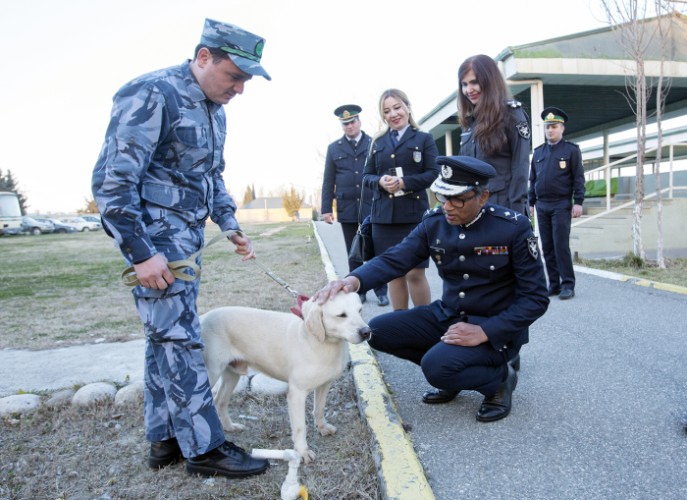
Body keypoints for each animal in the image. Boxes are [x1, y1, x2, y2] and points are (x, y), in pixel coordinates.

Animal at [199, 292, 370, 462]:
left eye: (360, 310)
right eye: (341, 315)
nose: (366, 332)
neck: (319, 342)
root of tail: (203, 316)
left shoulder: (325, 384)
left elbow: (319, 409)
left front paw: (322, 427)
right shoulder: (296, 394)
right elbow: (300, 427)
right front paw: (302, 452)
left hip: (232, 374)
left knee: (220, 401)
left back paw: (229, 427)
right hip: (211, 373)